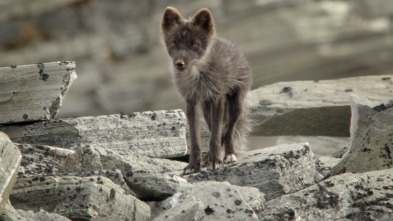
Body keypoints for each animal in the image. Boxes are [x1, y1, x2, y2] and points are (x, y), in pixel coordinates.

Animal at [160, 6, 250, 174]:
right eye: (173, 44)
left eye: (195, 45)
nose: (179, 64)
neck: (197, 77)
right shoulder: (191, 102)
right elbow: (196, 139)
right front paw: (194, 165)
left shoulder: (217, 98)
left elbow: (215, 136)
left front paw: (215, 161)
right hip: (206, 110)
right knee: (219, 131)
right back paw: (209, 157)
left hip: (235, 105)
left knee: (228, 131)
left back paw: (229, 154)